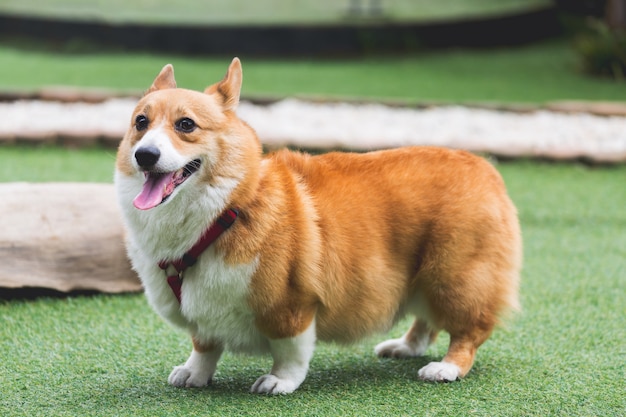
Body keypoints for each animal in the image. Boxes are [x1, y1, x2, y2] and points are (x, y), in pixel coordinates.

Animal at [114, 58, 520, 394]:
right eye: (140, 123)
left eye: (186, 125)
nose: (145, 155)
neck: (226, 213)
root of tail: (483, 167)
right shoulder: (204, 315)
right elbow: (204, 347)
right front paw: (194, 373)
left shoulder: (292, 306)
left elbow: (290, 350)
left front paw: (279, 381)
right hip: (422, 279)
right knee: (426, 320)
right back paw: (404, 347)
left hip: (453, 278)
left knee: (470, 329)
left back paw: (446, 367)